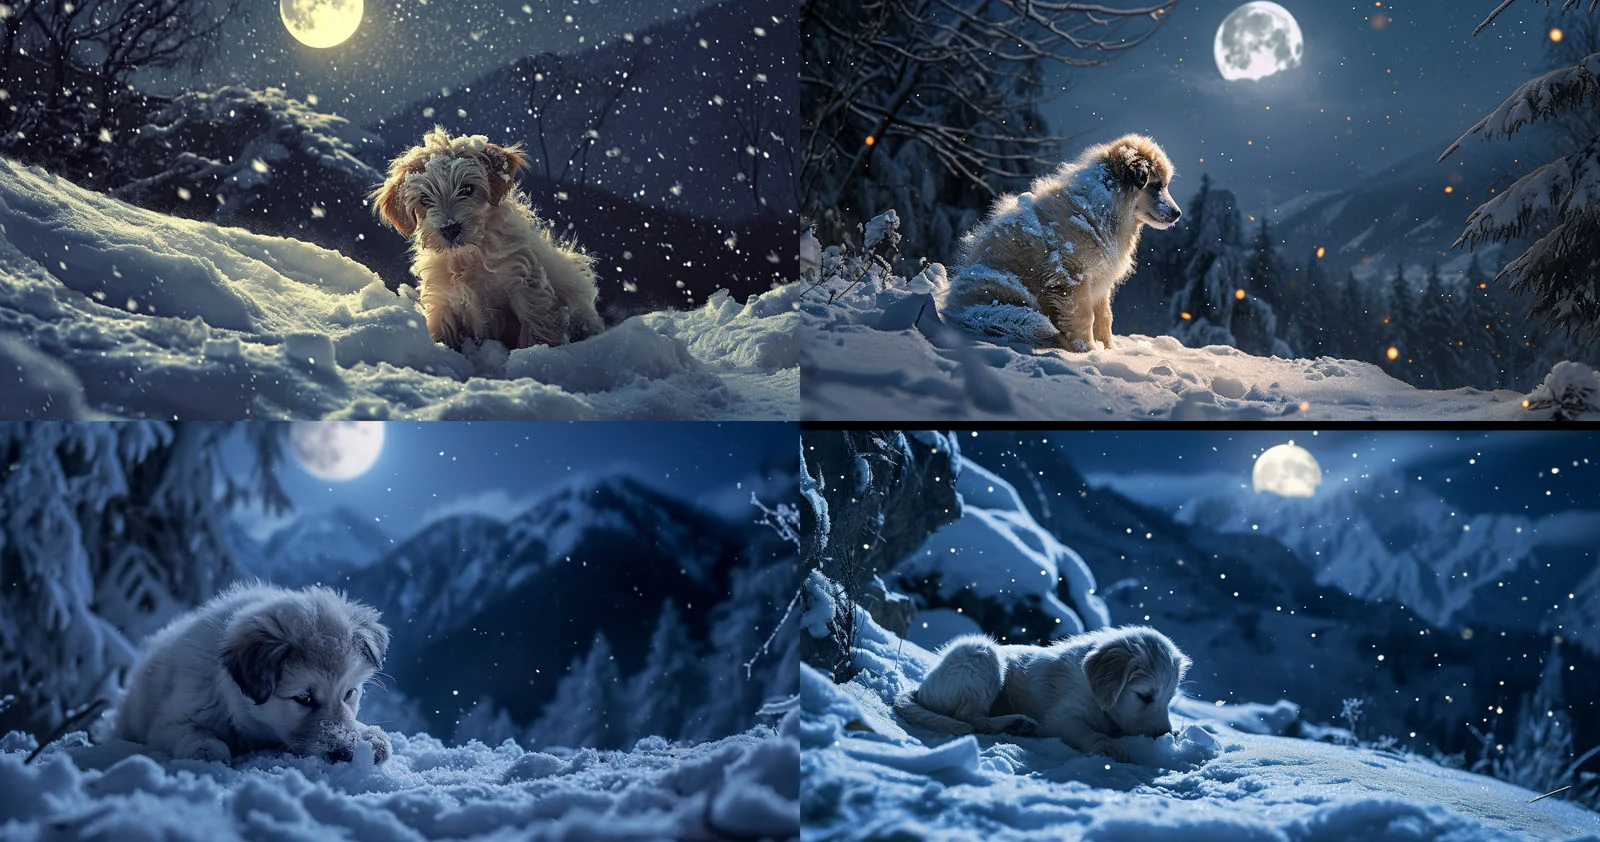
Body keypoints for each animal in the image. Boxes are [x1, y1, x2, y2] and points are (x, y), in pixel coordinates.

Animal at [116, 585, 393, 768]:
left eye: (349, 693)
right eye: (304, 698)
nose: (344, 752)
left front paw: (369, 735)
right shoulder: (169, 721)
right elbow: (191, 731)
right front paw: (205, 748)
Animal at [371, 126, 601, 353]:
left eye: (467, 189)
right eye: (424, 199)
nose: (450, 228)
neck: (468, 257)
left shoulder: (524, 285)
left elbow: (537, 323)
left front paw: (539, 351)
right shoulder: (441, 299)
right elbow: (442, 331)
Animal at [902, 627, 1190, 765]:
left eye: (1168, 700)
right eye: (1145, 696)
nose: (1163, 734)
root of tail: (923, 686)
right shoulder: (1059, 718)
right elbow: (1089, 732)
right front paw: (1108, 746)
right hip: (980, 655)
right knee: (970, 718)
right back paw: (1016, 724)